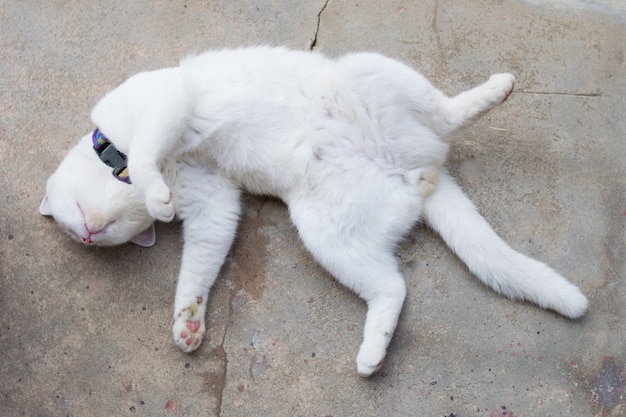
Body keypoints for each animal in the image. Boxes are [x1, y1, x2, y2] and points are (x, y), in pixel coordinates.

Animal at [37, 46, 584, 376]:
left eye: (78, 219)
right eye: (86, 233)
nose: (86, 234)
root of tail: (417, 171)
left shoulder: (166, 98)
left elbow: (150, 150)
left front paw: (155, 196)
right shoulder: (215, 203)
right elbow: (199, 265)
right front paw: (188, 322)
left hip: (368, 71)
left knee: (448, 112)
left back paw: (496, 88)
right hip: (326, 234)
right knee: (392, 287)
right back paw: (372, 353)